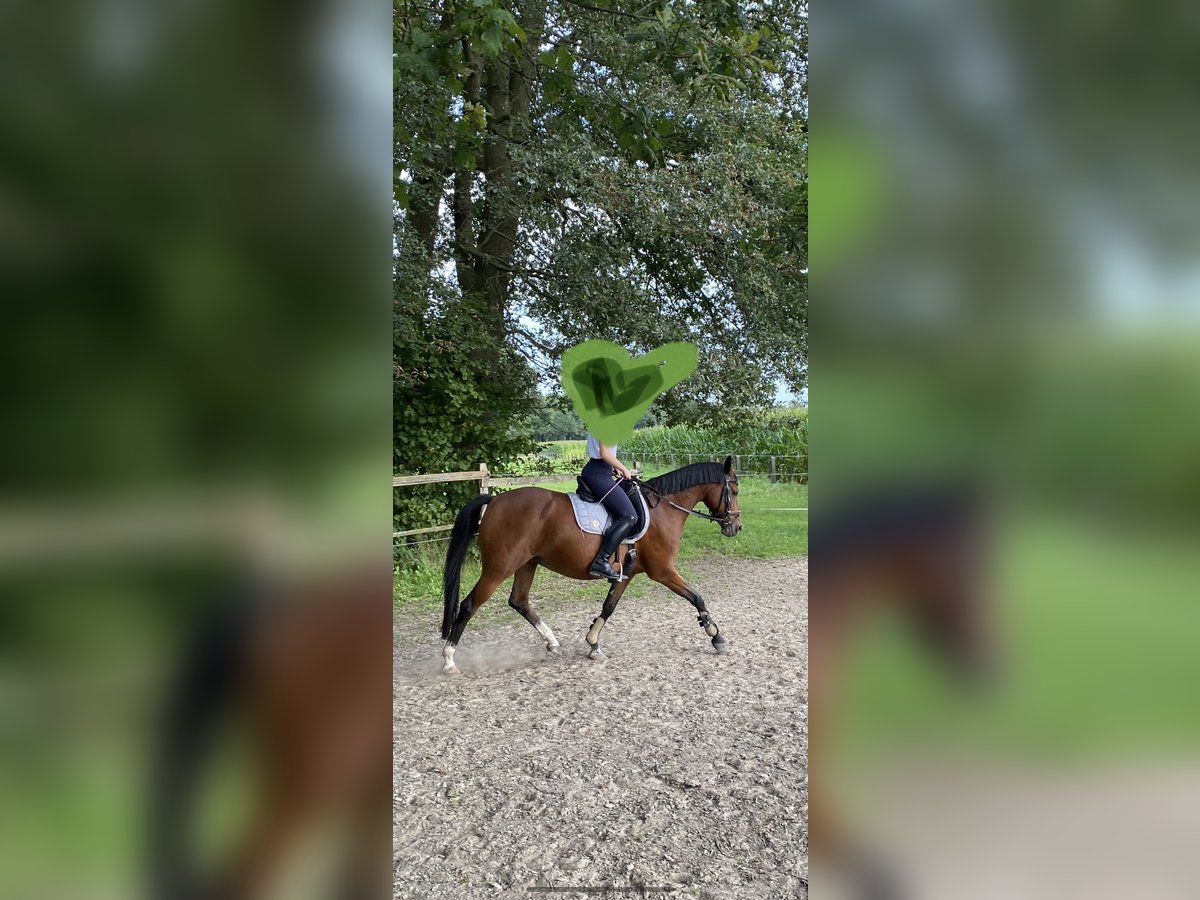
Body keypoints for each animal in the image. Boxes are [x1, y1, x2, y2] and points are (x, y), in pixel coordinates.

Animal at [441, 458, 739, 676]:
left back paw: (552, 642)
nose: (736, 527)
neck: (662, 510)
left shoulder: (626, 574)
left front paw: (593, 643)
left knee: (519, 601)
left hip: (527, 564)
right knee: (469, 605)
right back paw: (449, 659)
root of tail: (493, 501)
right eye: (734, 491)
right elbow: (696, 597)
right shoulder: (663, 570)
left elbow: (608, 607)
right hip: (499, 568)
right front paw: (716, 637)